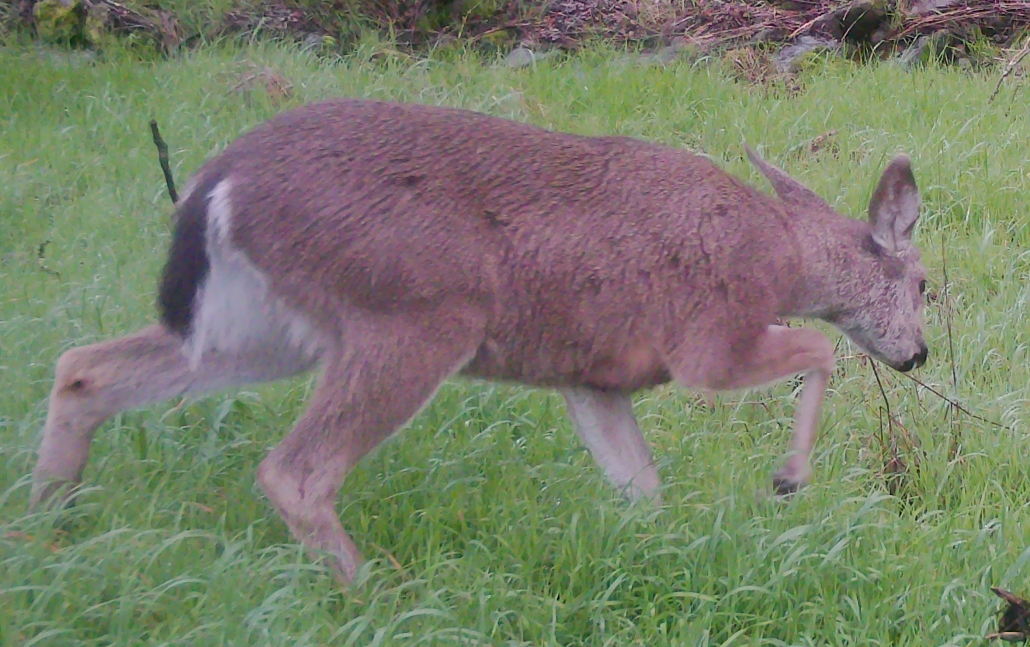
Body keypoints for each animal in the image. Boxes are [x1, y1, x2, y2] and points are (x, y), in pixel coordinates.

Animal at [28, 98, 928, 584]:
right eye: (924, 285)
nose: (919, 354)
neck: (782, 257)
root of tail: (218, 183)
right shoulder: (706, 341)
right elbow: (821, 350)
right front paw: (789, 476)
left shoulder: (593, 377)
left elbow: (640, 485)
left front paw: (663, 554)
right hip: (418, 314)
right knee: (296, 471)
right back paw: (375, 596)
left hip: (261, 327)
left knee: (81, 368)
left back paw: (48, 534)